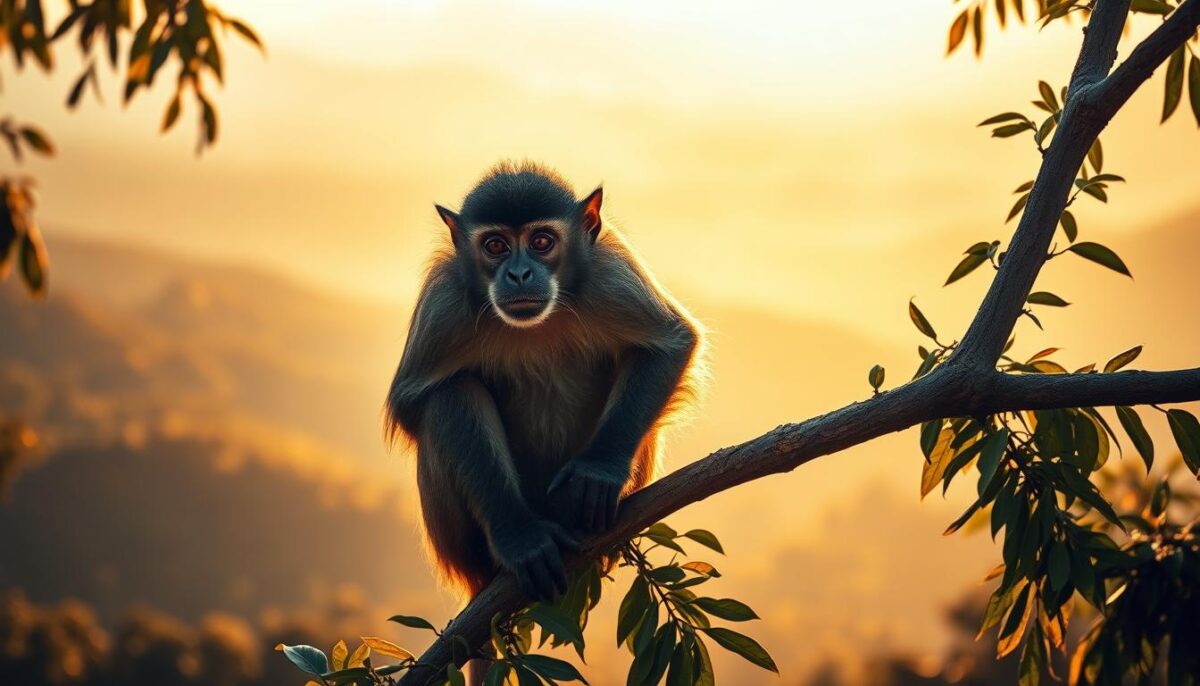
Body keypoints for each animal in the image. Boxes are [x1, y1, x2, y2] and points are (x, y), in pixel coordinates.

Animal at [385, 161, 702, 604]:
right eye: (496, 246)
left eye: (541, 241)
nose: (519, 274)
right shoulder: (444, 302)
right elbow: (416, 398)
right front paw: (521, 539)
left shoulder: (610, 274)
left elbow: (670, 344)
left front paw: (598, 470)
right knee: (452, 391)